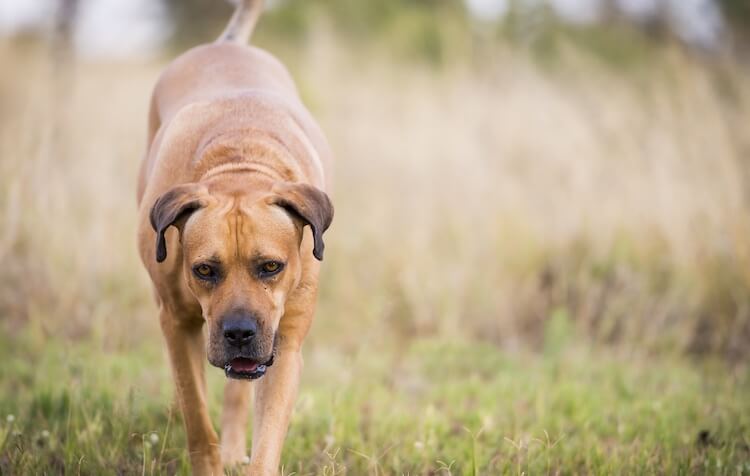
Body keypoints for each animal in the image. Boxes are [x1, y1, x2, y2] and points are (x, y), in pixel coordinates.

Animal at [136, 1, 334, 474]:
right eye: (204, 269)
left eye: (271, 267)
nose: (239, 333)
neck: (240, 163)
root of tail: (224, 43)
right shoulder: (176, 322)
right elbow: (195, 413)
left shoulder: (285, 343)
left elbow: (266, 437)